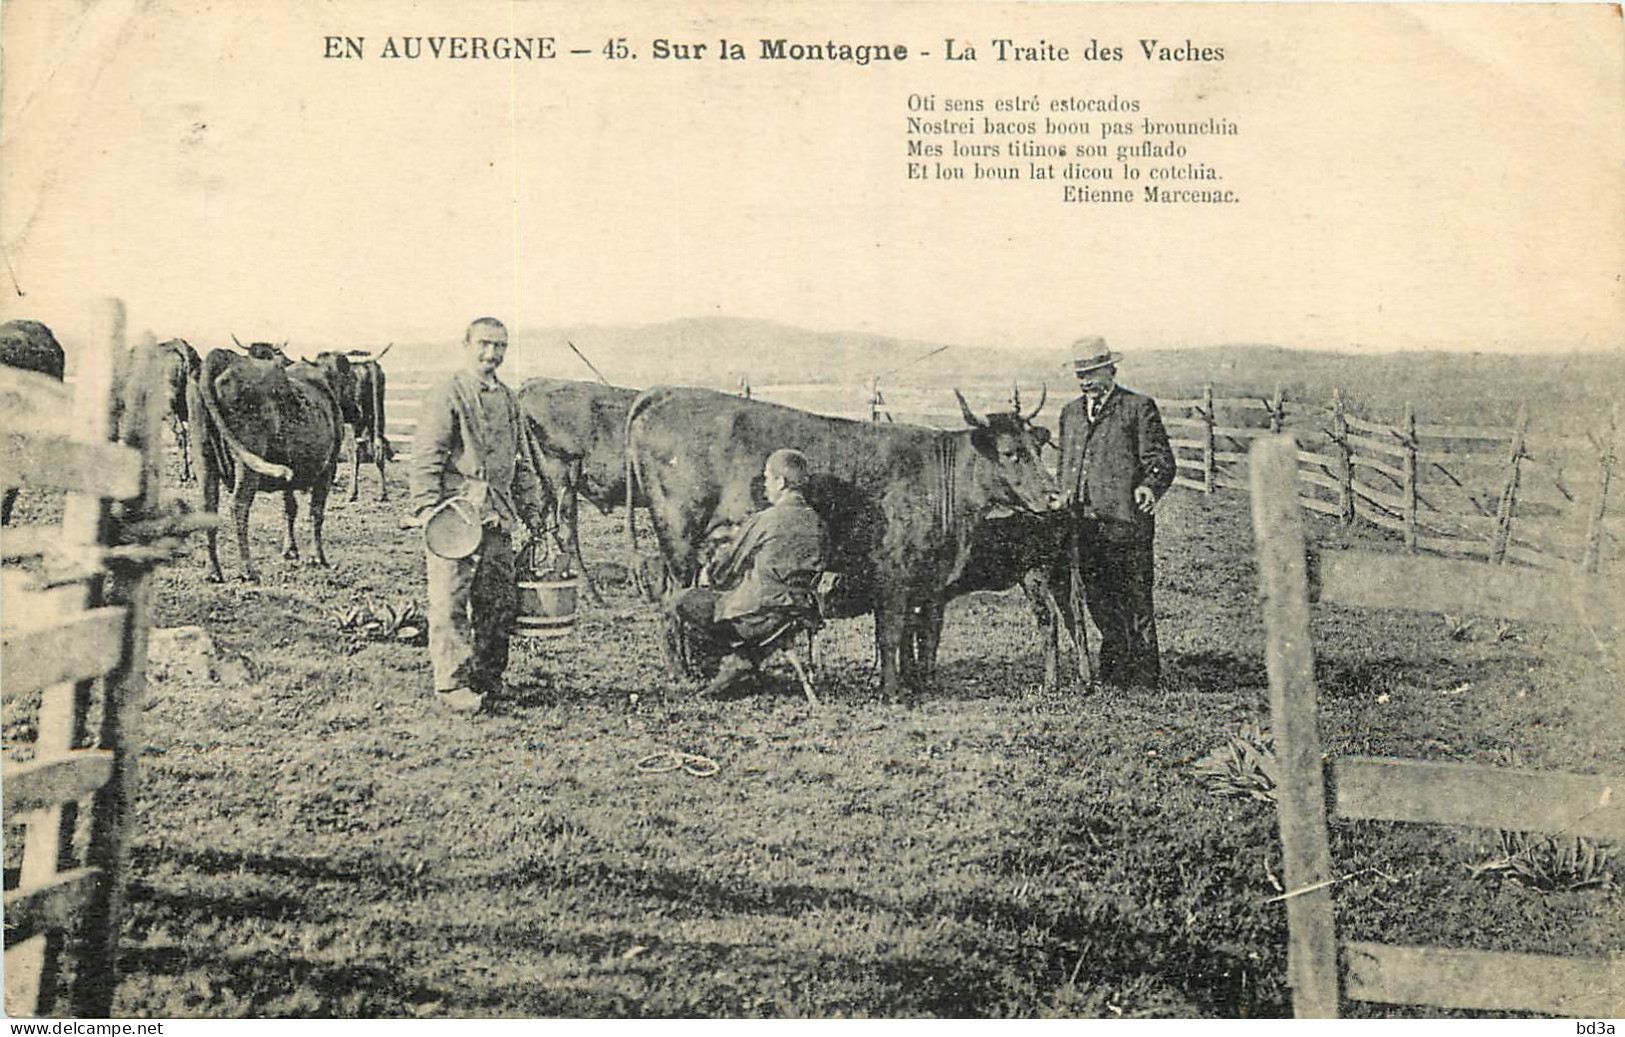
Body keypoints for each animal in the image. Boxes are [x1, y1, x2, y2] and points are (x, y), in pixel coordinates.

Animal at [190, 349, 359, 585]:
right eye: (352, 378)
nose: (359, 412)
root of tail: (221, 357)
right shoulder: (329, 467)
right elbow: (316, 511)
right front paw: (318, 557)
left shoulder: (290, 473)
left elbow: (290, 508)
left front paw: (290, 550)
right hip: (248, 462)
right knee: (239, 506)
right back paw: (248, 570)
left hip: (203, 457)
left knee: (208, 506)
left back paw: (213, 571)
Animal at [520, 377, 646, 601]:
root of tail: (536, 382)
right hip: (561, 474)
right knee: (566, 534)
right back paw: (591, 592)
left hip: (541, 482)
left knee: (537, 527)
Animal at [620, 388, 1053, 698]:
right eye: (1011, 453)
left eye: (1037, 448)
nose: (1055, 496)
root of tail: (665, 393)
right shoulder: (892, 570)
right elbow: (891, 631)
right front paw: (892, 691)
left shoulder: (929, 575)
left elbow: (923, 630)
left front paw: (921, 682)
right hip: (678, 534)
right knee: (672, 601)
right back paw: (682, 672)